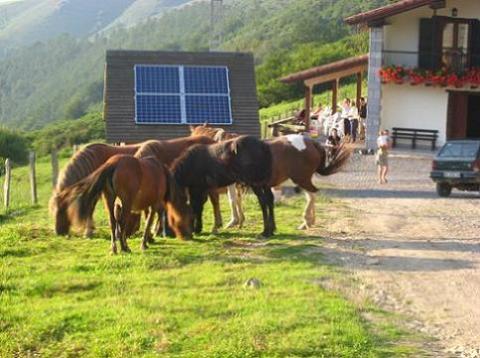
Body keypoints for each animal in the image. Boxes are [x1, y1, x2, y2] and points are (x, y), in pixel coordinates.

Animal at [54, 155, 193, 253]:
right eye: (189, 217)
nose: (189, 236)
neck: (161, 172)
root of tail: (113, 163)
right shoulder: (154, 204)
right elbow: (148, 222)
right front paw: (145, 242)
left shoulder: (140, 205)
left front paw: (149, 239)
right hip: (126, 202)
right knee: (122, 222)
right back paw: (124, 247)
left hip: (110, 201)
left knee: (113, 223)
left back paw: (114, 248)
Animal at [189, 123, 350, 229]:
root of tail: (312, 143)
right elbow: (238, 200)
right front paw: (240, 220)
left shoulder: (232, 184)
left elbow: (232, 200)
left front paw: (234, 221)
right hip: (302, 179)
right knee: (310, 195)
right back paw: (309, 221)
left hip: (301, 178)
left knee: (312, 194)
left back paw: (306, 220)